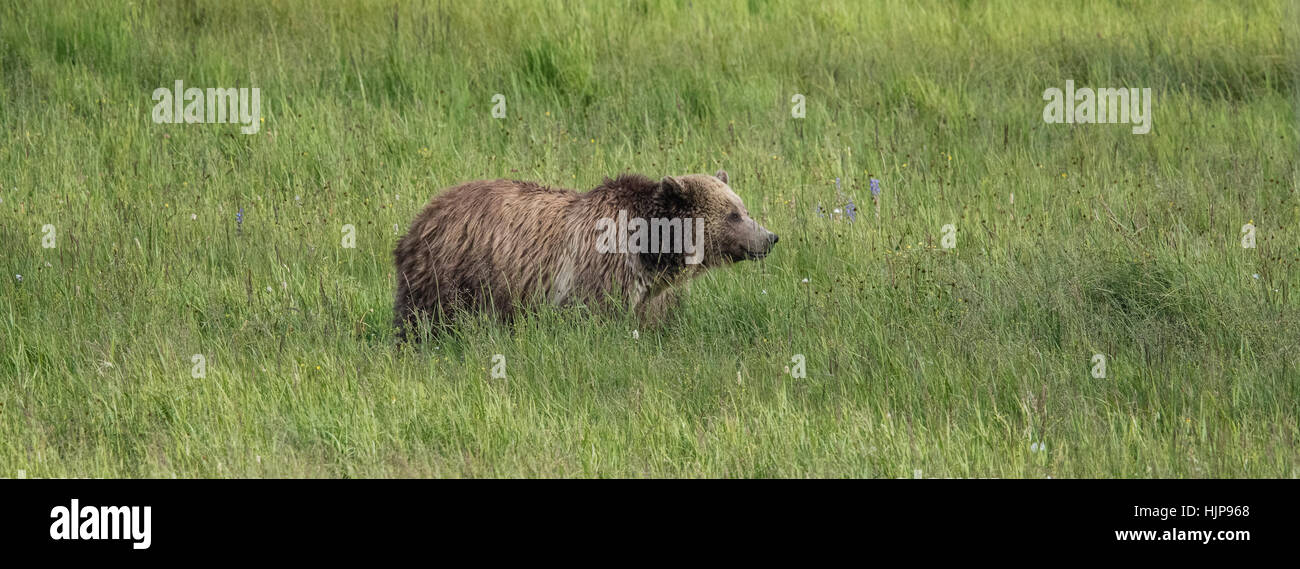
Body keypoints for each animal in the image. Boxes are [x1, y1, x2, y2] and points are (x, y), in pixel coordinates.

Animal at [384, 168, 769, 337]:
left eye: (743, 208)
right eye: (733, 214)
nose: (770, 237)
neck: (650, 250)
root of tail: (423, 216)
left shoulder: (653, 293)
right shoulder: (602, 274)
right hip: (452, 272)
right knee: (424, 320)